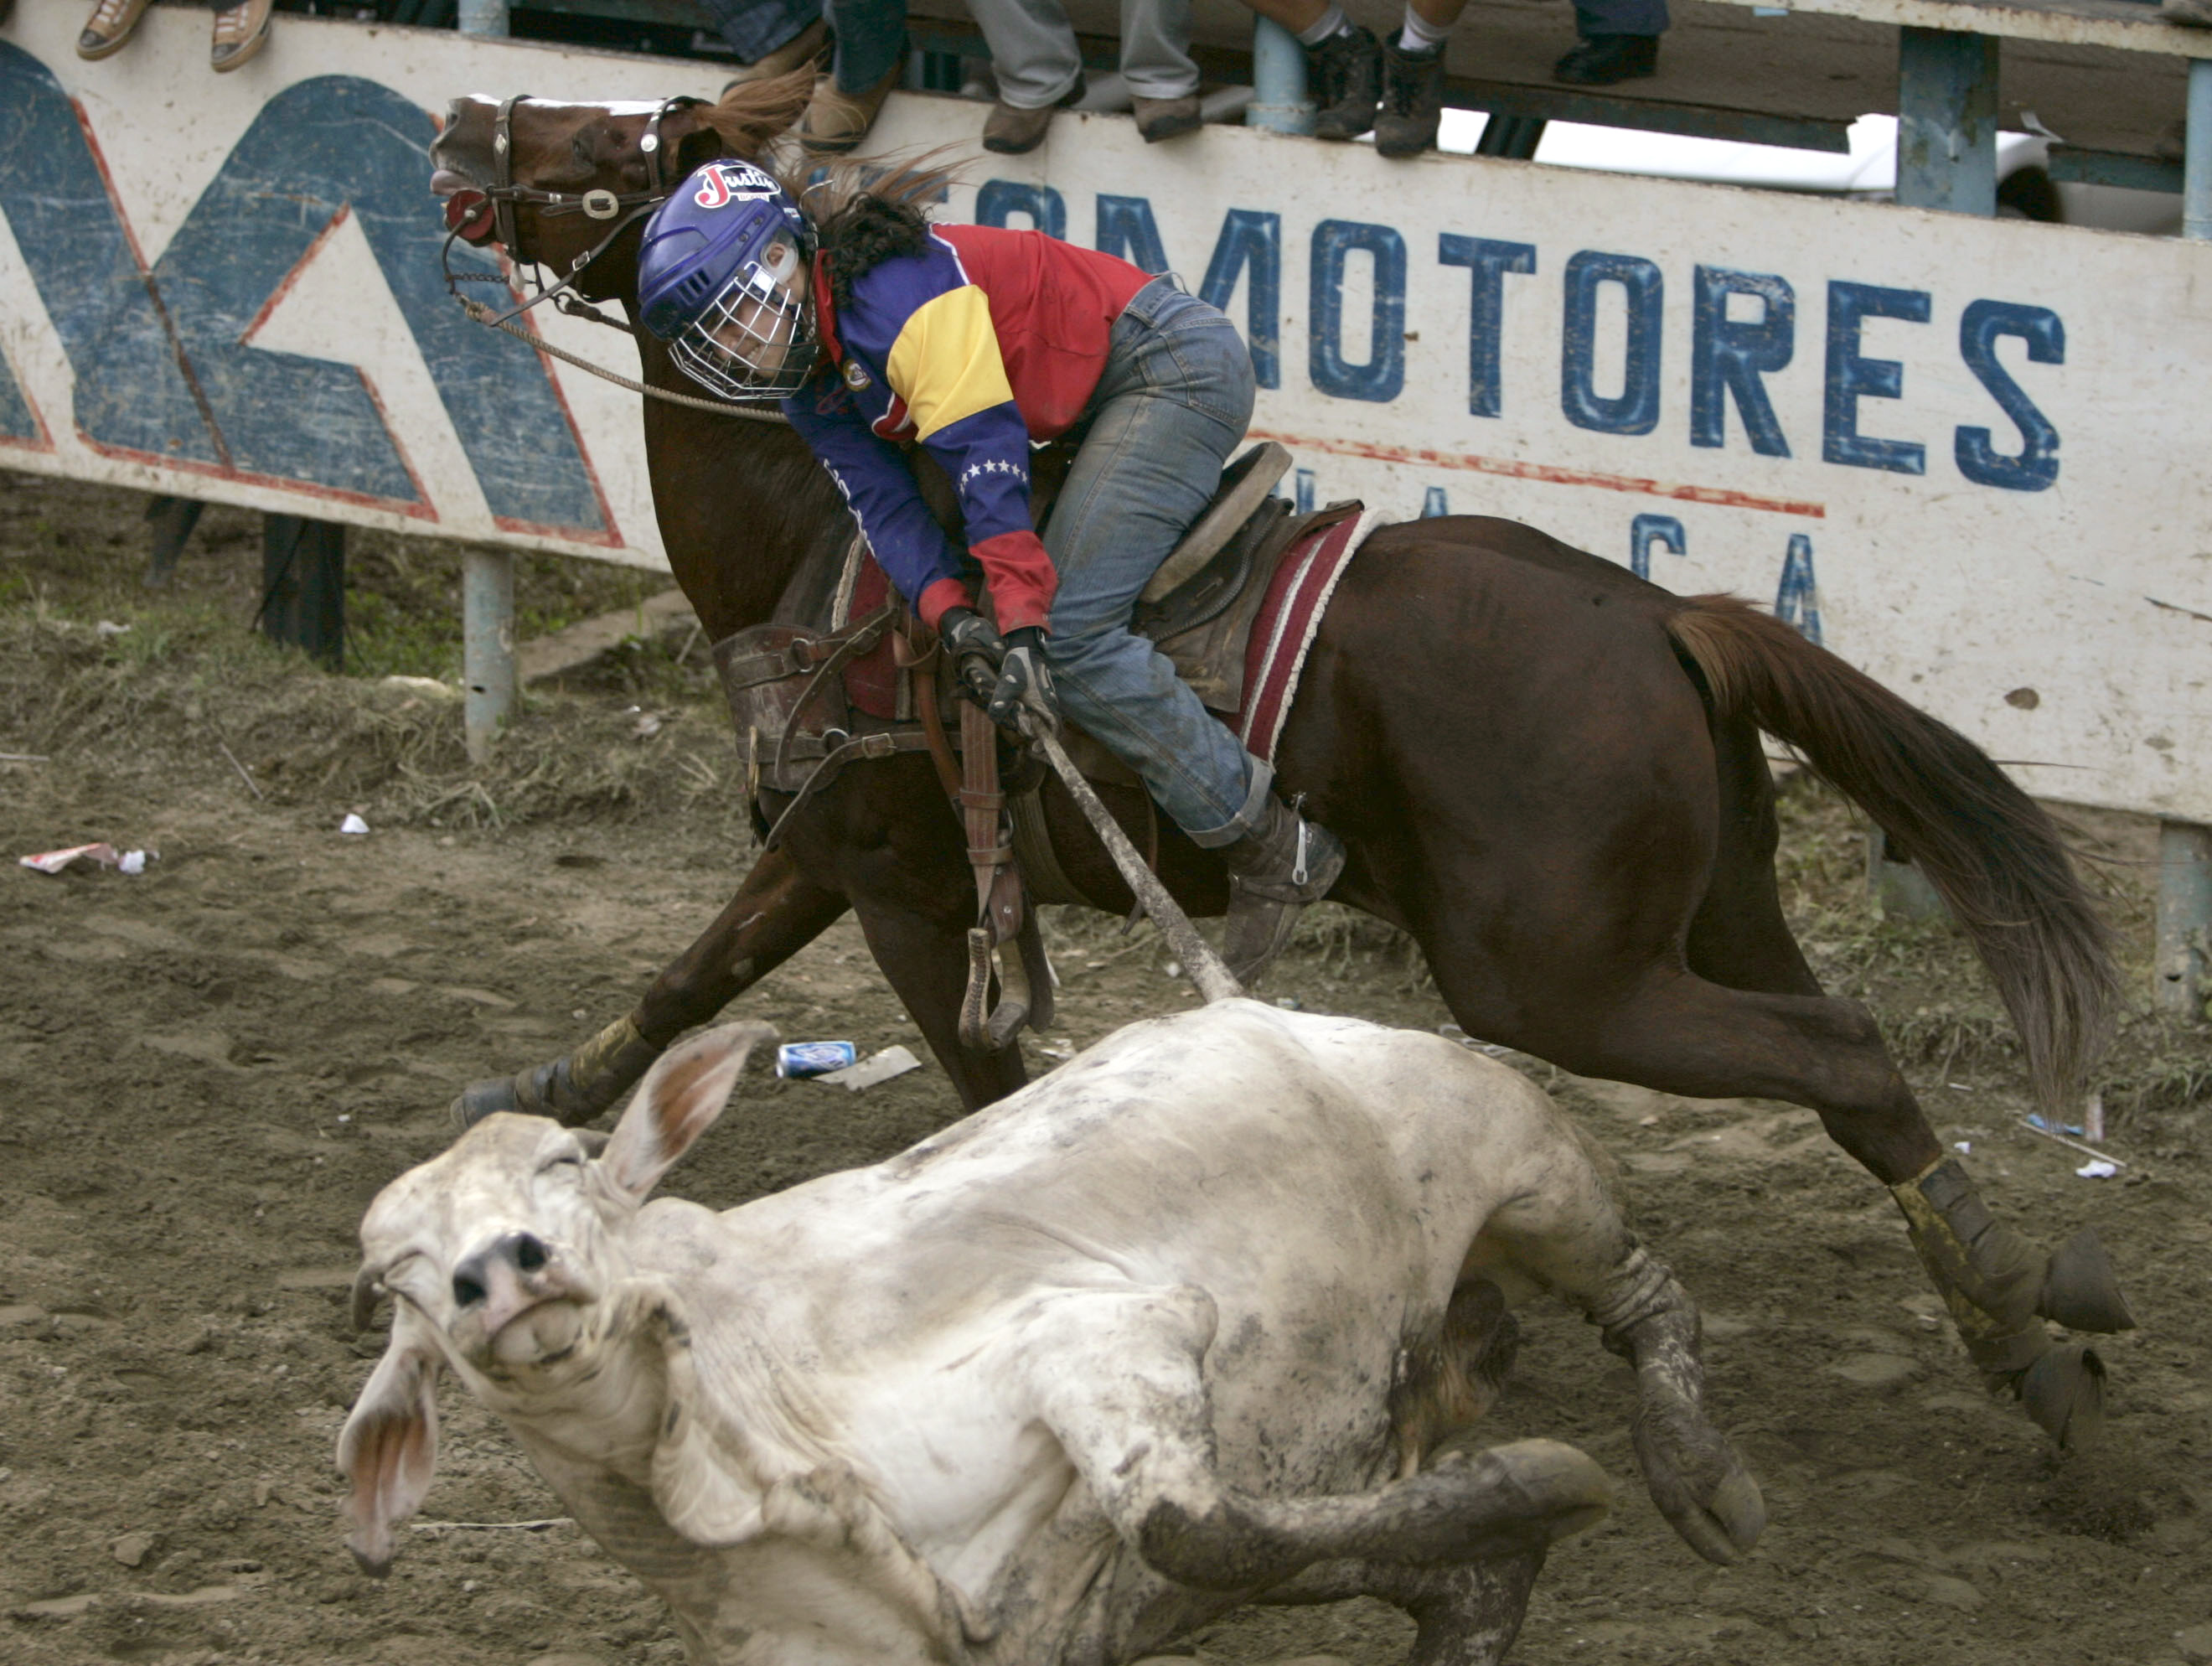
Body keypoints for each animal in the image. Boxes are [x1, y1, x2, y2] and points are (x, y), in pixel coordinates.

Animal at [340, 1000, 1760, 1663]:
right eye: (394, 1274)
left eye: (570, 1163)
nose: (497, 1272)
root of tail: (1252, 1003)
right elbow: (1395, 1559)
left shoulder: (1112, 1335)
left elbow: (1195, 1521)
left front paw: (1546, 1479)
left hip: (1526, 1159)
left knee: (1647, 1294)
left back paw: (1695, 1470)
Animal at [422, 81, 2132, 1442]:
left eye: (603, 149)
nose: (457, 125)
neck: (822, 546)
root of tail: (1664, 618)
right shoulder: (828, 853)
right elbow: (691, 978)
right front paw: (539, 1095)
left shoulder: (895, 879)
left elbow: (970, 1081)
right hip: (1716, 917)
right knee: (1852, 1067)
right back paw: (2026, 1331)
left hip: (1558, 975)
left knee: (1838, 1053)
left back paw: (2029, 1351)